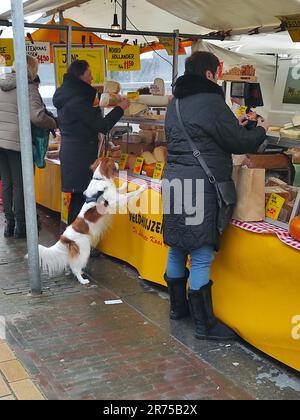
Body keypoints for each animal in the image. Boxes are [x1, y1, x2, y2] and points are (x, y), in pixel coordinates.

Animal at [38, 158, 146, 286]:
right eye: (113, 160)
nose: (118, 162)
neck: (100, 179)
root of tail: (64, 237)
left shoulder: (115, 195)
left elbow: (120, 190)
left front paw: (125, 184)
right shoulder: (115, 201)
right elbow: (129, 194)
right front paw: (143, 187)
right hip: (84, 249)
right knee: (75, 267)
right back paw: (82, 280)